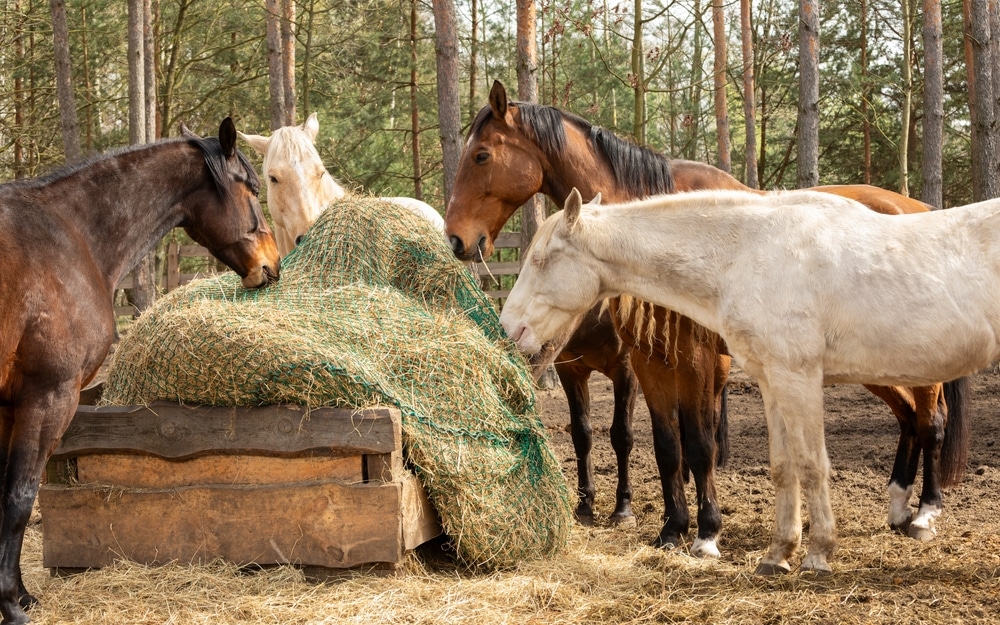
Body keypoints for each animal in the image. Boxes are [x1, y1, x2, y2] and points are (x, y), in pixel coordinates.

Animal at [0, 118, 282, 624]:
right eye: (250, 188)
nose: (272, 264)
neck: (69, 237)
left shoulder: (8, 405)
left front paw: (19, 594)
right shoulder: (47, 397)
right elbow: (19, 496)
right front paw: (12, 605)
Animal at [446, 79, 968, 560]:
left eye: (482, 156)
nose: (455, 239)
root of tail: (916, 206)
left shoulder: (696, 360)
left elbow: (699, 444)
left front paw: (707, 532)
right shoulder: (649, 361)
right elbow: (666, 446)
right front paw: (672, 528)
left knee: (931, 420)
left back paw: (925, 511)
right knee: (908, 417)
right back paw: (898, 506)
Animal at [504, 186, 1000, 576]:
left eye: (542, 258)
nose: (511, 329)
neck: (748, 253)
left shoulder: (797, 378)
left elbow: (812, 465)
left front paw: (817, 554)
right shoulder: (771, 380)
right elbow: (784, 467)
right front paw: (778, 554)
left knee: (928, 424)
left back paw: (922, 516)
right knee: (912, 422)